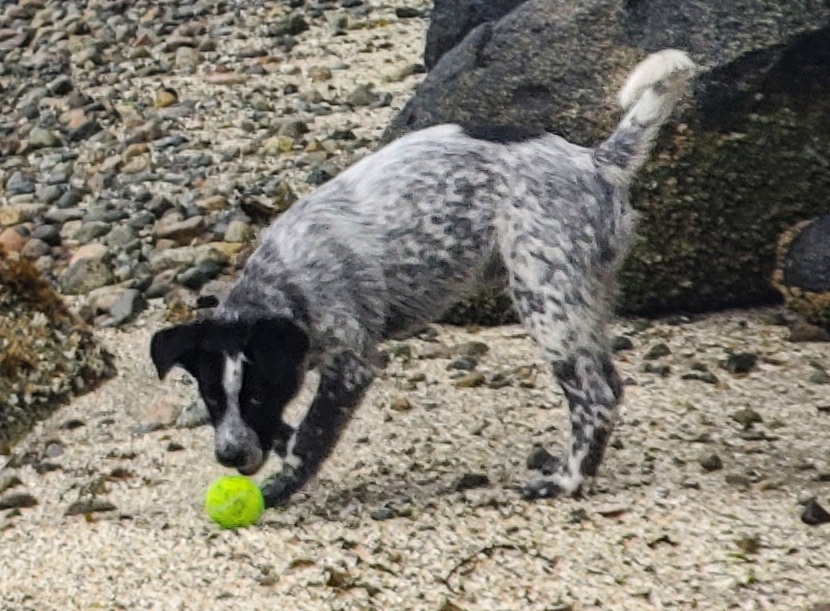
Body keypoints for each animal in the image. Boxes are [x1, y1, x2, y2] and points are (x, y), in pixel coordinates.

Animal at [151, 49, 697, 506]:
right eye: (212, 399)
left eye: (257, 395)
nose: (230, 456)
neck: (285, 278)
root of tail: (595, 162)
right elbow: (296, 432)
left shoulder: (352, 363)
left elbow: (311, 438)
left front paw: (280, 488)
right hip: (586, 298)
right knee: (612, 386)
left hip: (545, 300)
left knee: (595, 399)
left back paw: (567, 480)